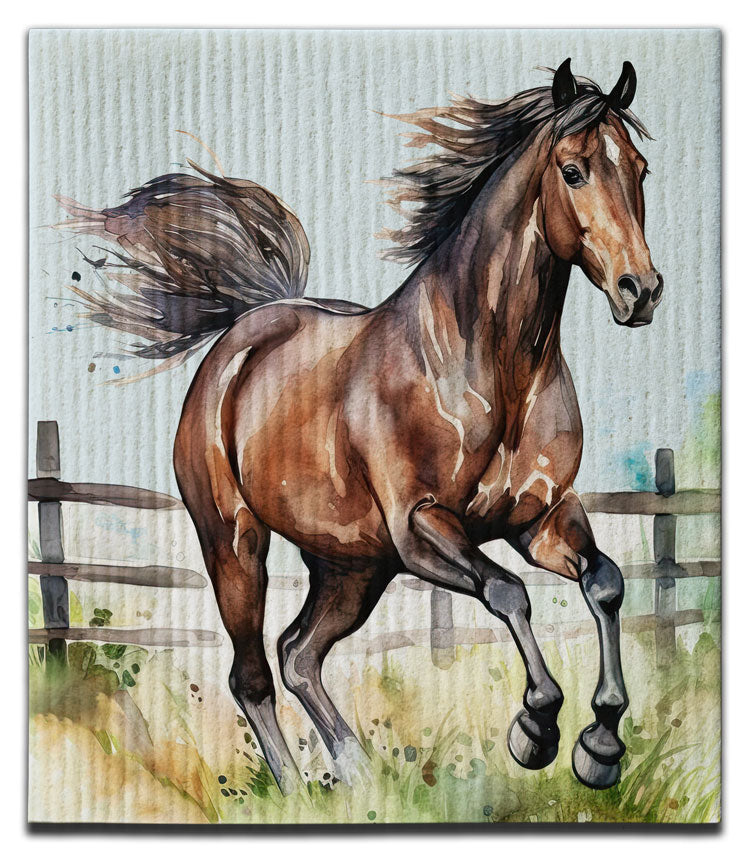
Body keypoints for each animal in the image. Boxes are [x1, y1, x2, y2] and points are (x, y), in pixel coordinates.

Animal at [57, 59, 662, 794]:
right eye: (573, 171)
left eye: (640, 168)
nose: (641, 290)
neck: (486, 366)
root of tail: (246, 332)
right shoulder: (421, 528)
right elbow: (508, 592)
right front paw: (536, 728)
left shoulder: (538, 518)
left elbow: (605, 584)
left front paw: (601, 745)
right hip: (236, 546)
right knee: (253, 674)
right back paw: (296, 793)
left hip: (351, 566)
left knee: (299, 654)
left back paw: (355, 771)